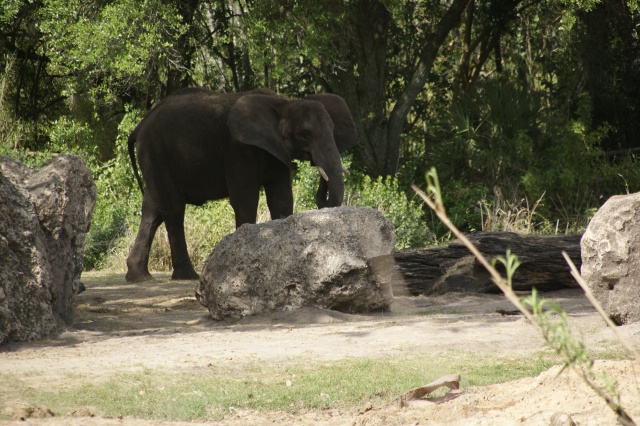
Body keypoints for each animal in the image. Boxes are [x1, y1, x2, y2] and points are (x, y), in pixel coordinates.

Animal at [124, 87, 356, 282]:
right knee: (172, 209)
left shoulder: (276, 152)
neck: (284, 103)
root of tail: (139, 126)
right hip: (156, 153)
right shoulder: (238, 149)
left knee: (152, 211)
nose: (318, 169)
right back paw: (187, 276)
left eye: (333, 130)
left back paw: (139, 277)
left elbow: (281, 200)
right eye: (305, 135)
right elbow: (245, 200)